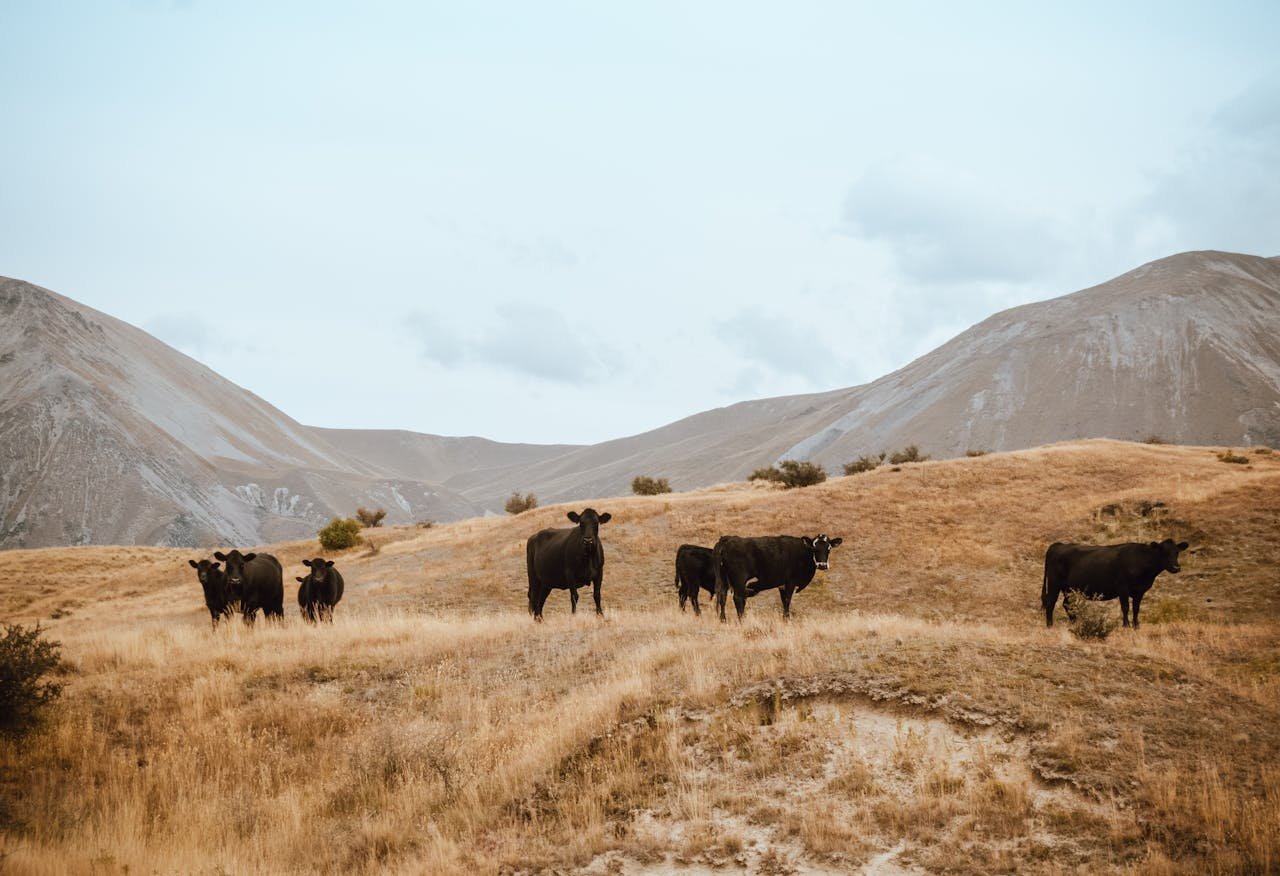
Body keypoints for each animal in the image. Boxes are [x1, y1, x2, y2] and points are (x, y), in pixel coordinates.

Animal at [713, 534, 843, 621]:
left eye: (829, 549)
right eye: (814, 548)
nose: (822, 565)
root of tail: (728, 539)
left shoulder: (782, 585)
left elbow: (783, 601)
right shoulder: (790, 581)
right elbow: (787, 600)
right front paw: (787, 618)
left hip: (723, 579)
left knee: (722, 597)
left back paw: (723, 620)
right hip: (739, 580)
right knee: (738, 598)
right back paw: (742, 620)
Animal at [1042, 539, 1189, 629]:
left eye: (1177, 552)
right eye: (1163, 552)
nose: (1176, 567)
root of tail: (1058, 545)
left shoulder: (1139, 591)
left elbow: (1136, 608)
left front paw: (1136, 626)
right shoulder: (1123, 588)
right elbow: (1125, 607)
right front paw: (1126, 626)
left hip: (1069, 588)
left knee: (1067, 604)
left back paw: (1075, 623)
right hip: (1055, 583)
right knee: (1051, 602)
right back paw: (1050, 625)